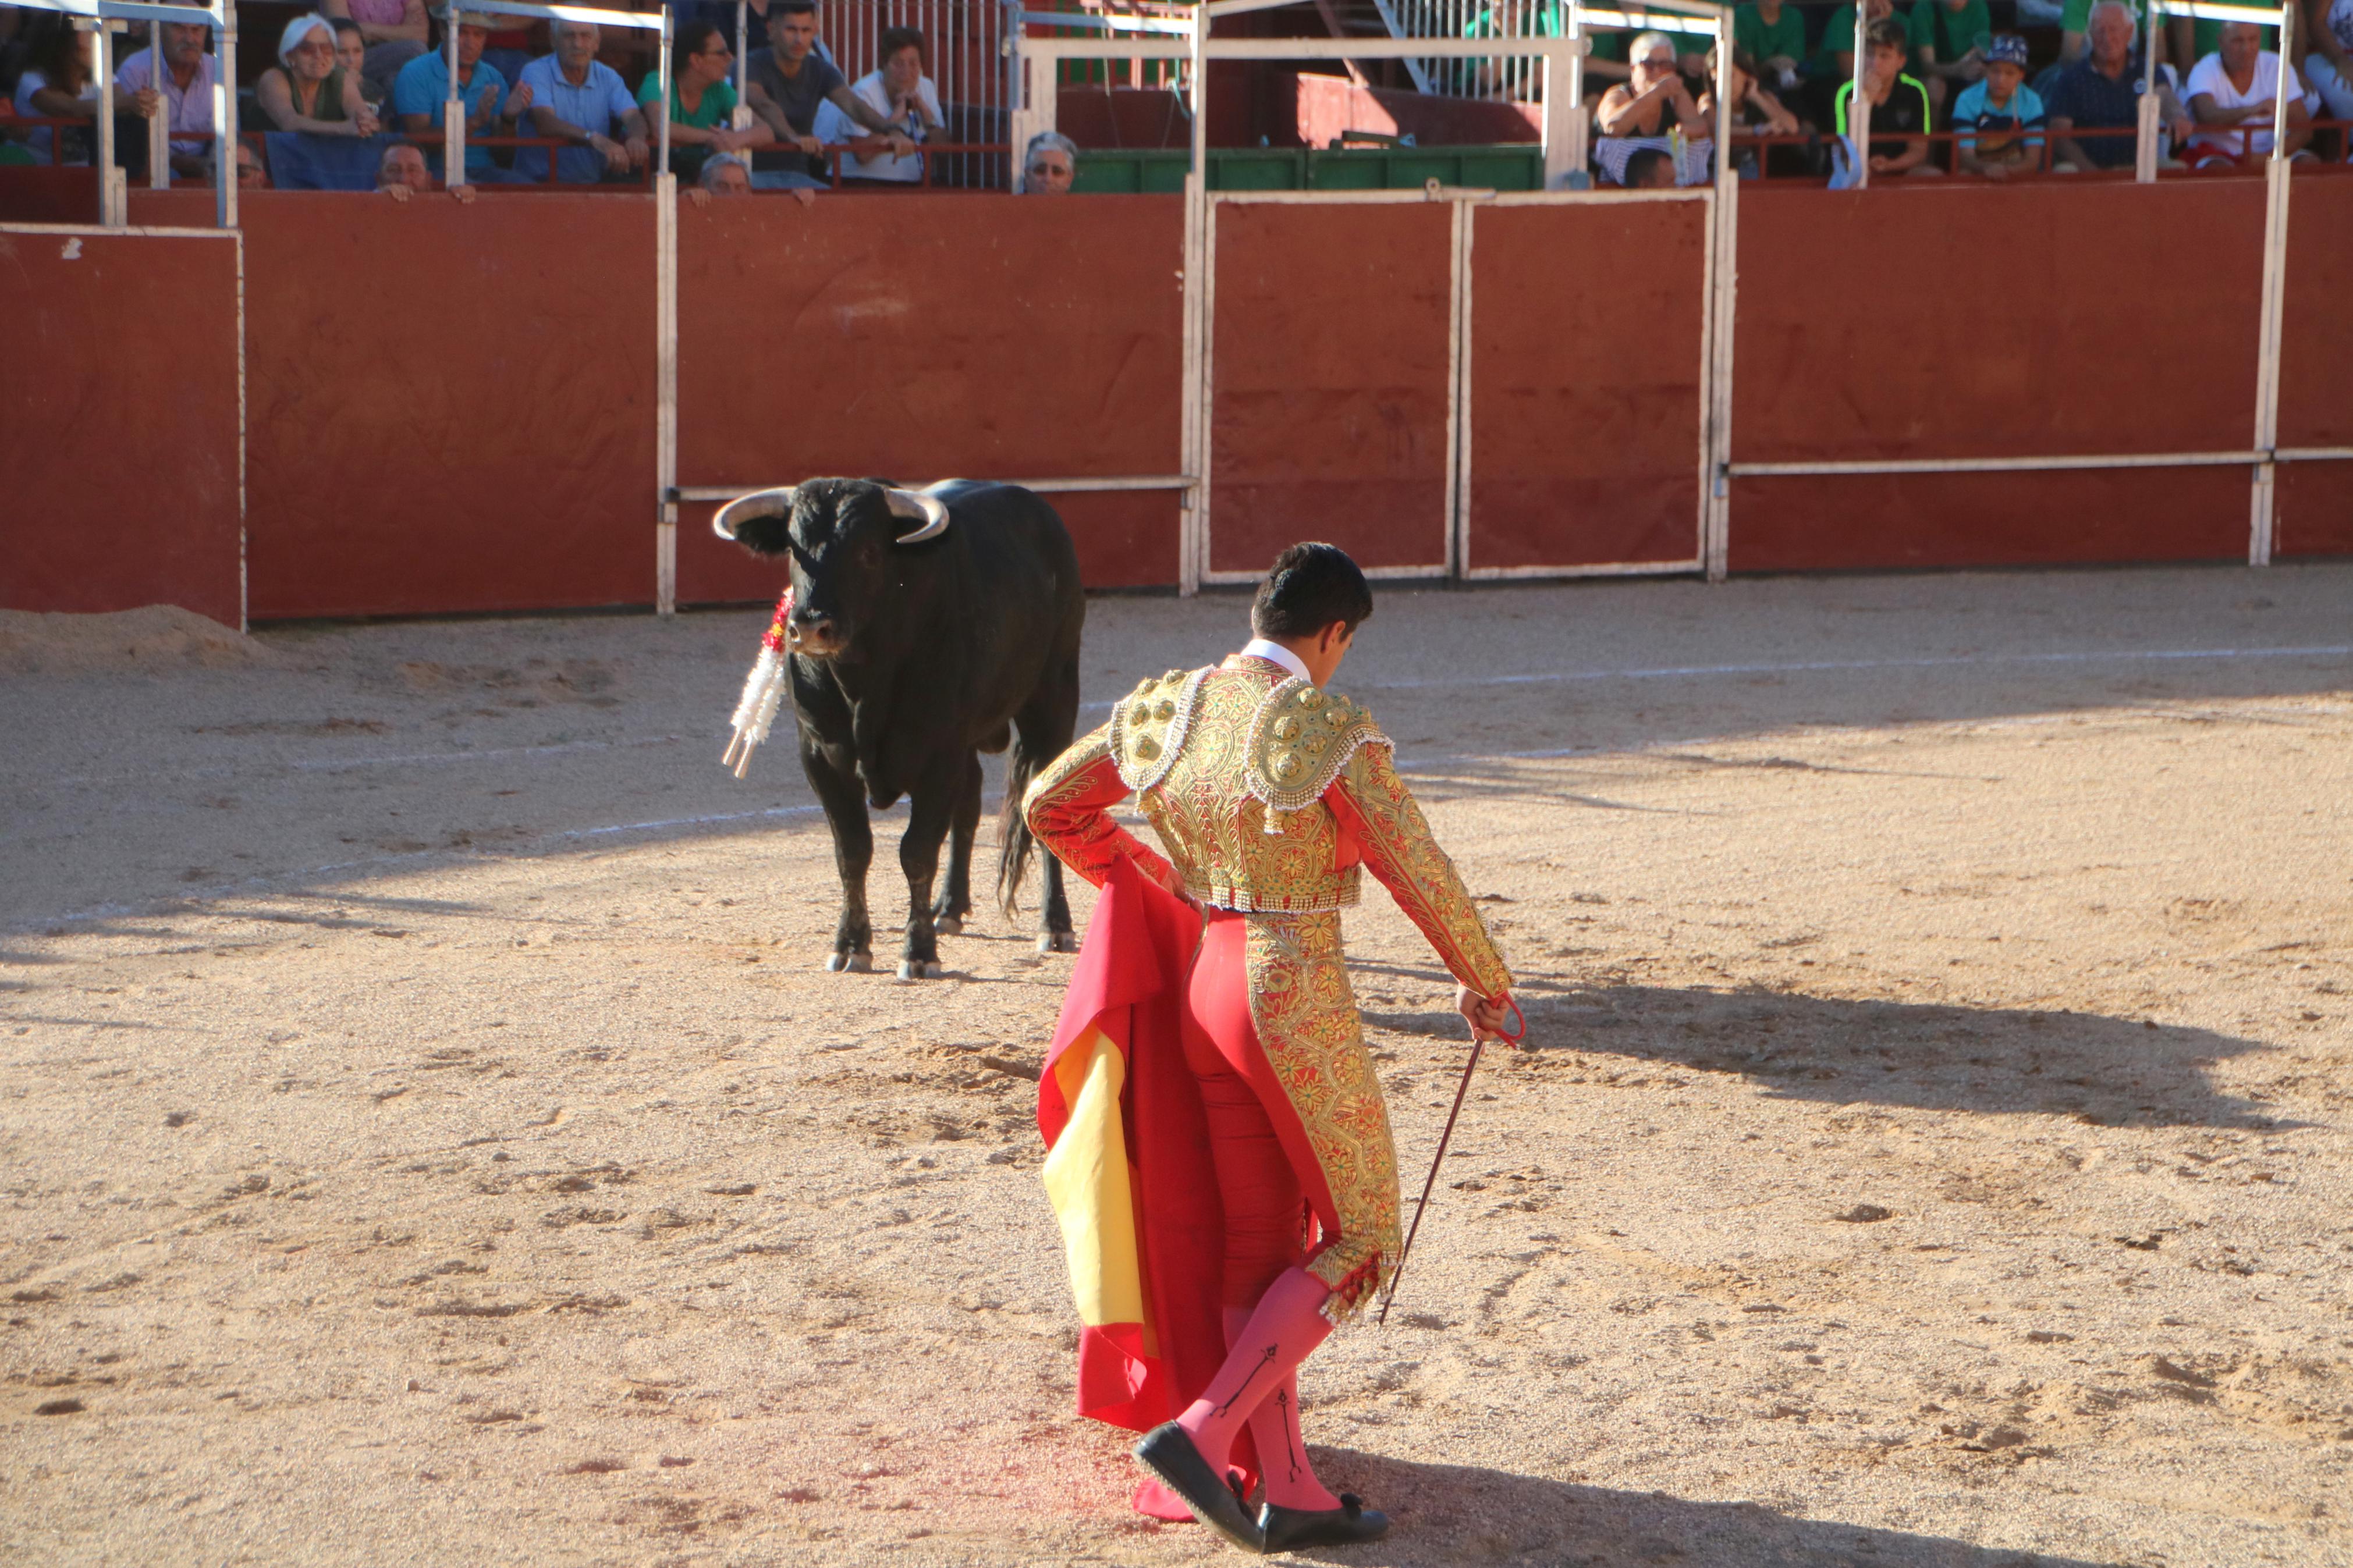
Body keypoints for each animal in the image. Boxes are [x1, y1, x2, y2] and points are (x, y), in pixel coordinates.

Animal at [715, 475, 1082, 982]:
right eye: (792, 546)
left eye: (868, 550)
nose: (809, 627)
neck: (861, 684)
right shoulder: (820, 757)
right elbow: (852, 851)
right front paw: (851, 946)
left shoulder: (937, 756)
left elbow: (917, 851)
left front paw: (919, 952)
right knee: (969, 804)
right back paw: (949, 907)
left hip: (1054, 700)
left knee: (1044, 808)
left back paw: (1055, 925)